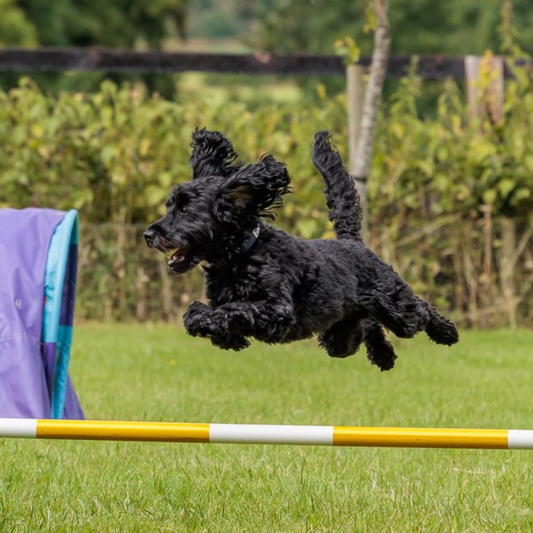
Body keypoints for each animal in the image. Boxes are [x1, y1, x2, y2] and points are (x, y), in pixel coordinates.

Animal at [145, 129, 458, 370]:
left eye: (186, 210)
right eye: (169, 206)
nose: (148, 234)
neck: (242, 256)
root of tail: (352, 240)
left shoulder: (278, 311)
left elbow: (231, 309)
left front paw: (206, 320)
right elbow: (213, 313)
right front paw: (225, 335)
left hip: (394, 305)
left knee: (420, 310)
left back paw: (447, 333)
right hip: (338, 337)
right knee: (366, 326)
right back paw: (383, 355)